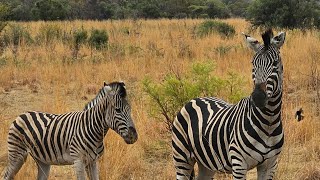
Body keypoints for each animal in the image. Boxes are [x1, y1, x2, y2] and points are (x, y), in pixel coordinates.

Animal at [3, 82, 138, 180]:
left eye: (130, 109)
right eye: (118, 110)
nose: (134, 136)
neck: (91, 129)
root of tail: (21, 114)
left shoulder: (93, 161)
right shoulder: (78, 161)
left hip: (42, 161)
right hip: (17, 154)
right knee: (6, 175)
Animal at [172, 29, 288, 179]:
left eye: (275, 63)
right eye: (253, 63)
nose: (257, 98)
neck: (269, 121)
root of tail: (193, 100)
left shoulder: (270, 164)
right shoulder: (239, 163)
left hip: (206, 163)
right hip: (181, 157)